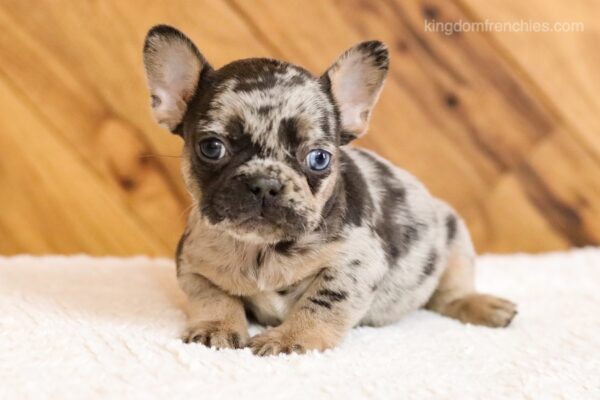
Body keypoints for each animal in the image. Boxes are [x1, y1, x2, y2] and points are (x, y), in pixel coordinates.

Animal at [141, 25, 516, 356]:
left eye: (319, 158)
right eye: (212, 148)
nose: (264, 184)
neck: (261, 249)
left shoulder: (355, 264)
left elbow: (322, 301)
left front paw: (290, 339)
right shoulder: (192, 263)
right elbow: (211, 295)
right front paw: (216, 326)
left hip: (455, 240)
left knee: (449, 293)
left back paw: (482, 305)